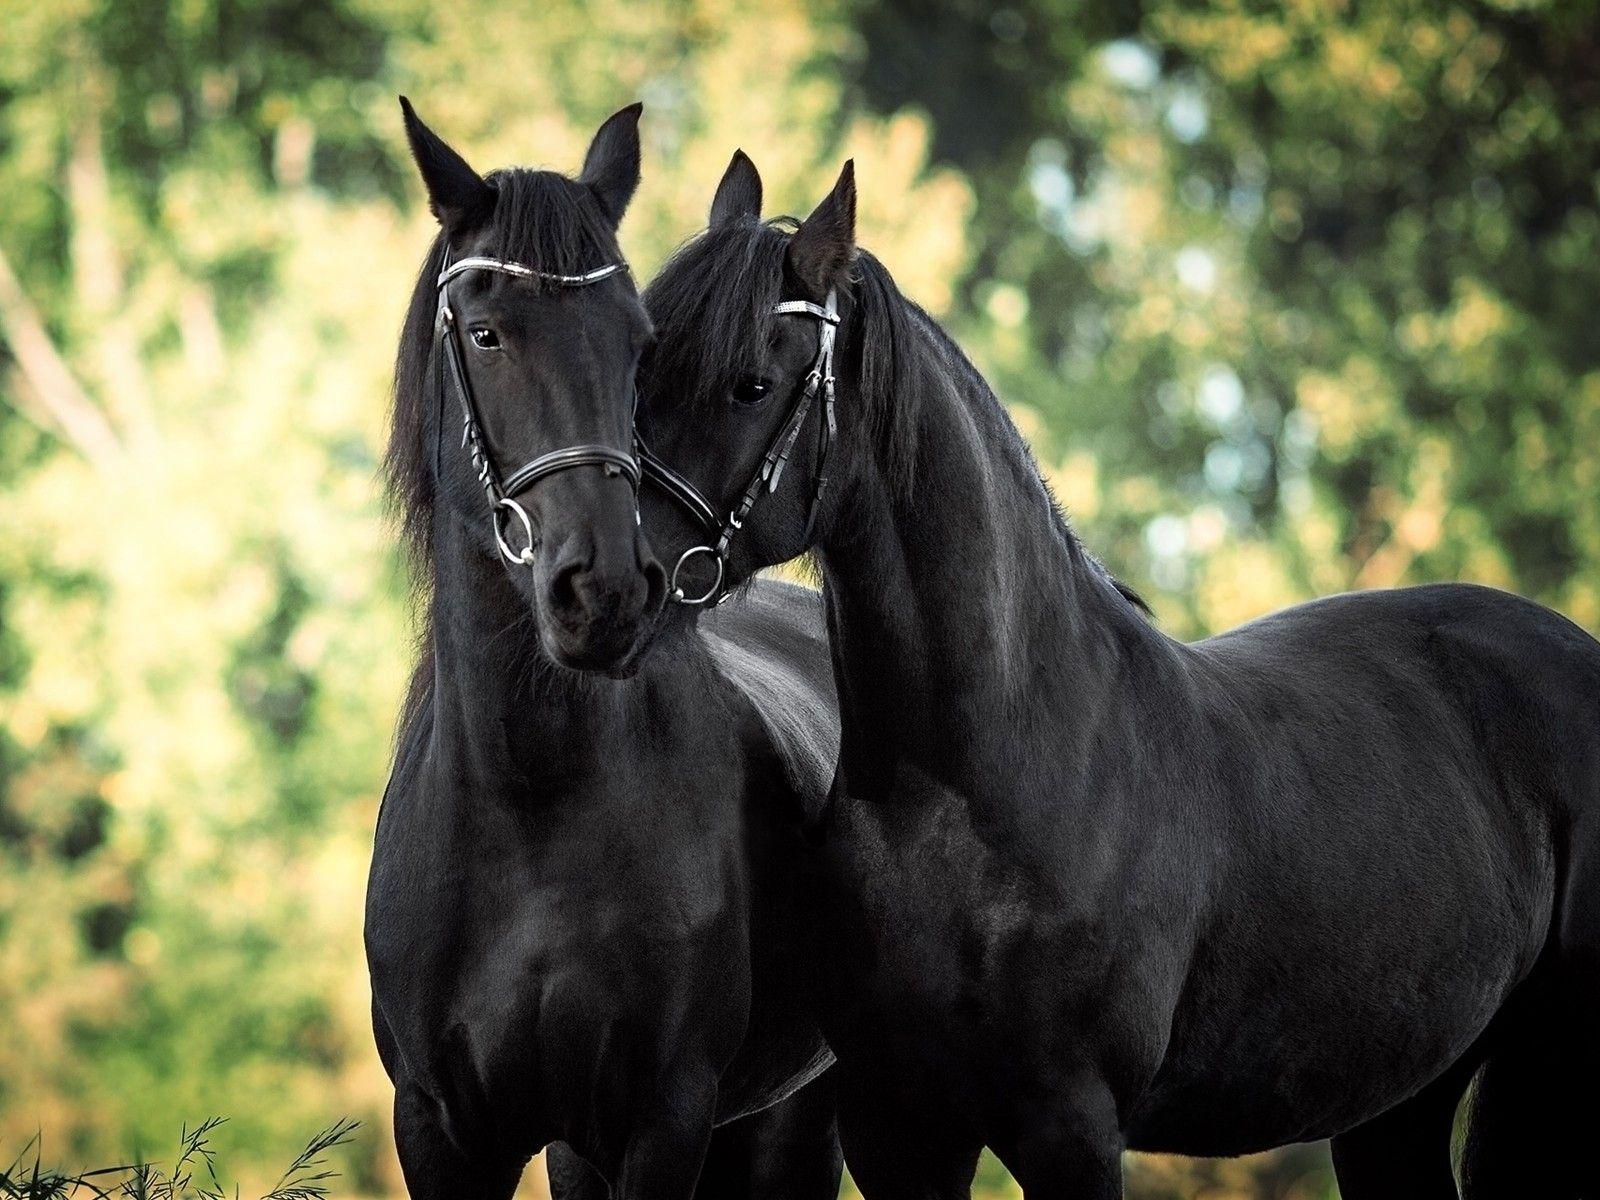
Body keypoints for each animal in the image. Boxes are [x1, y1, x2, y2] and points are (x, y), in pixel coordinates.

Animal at [364, 101, 844, 1200]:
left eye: (637, 345)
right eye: (487, 333)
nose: (605, 593)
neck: (530, 801)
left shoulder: (660, 1119)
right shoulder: (445, 1130)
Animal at [596, 150, 1600, 1198]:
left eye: (750, 385)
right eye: (637, 371)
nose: (609, 578)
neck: (981, 782)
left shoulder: (1069, 1127)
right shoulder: (897, 1126)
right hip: (1397, 1099)